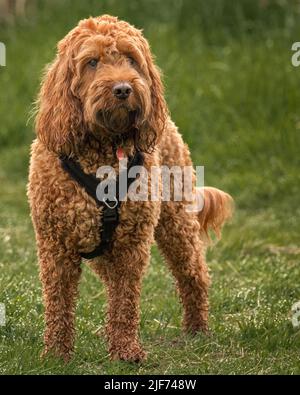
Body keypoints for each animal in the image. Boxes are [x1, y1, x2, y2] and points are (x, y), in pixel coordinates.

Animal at [27, 15, 232, 364]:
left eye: (131, 59)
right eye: (92, 62)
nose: (123, 88)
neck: (101, 150)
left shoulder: (131, 245)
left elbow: (125, 299)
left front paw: (125, 350)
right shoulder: (56, 246)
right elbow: (59, 301)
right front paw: (56, 352)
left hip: (176, 222)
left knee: (194, 274)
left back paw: (197, 328)